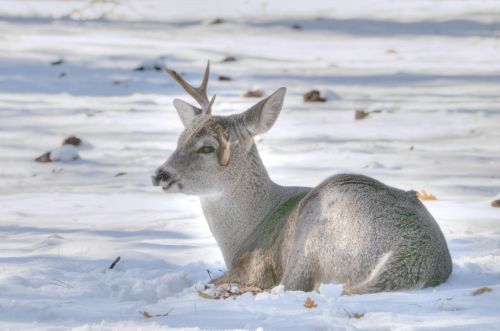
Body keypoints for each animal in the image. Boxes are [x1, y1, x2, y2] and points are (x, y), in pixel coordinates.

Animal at [150, 62, 452, 296]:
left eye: (207, 148)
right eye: (180, 139)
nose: (159, 174)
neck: (247, 231)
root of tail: (415, 255)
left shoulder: (255, 265)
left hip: (314, 239)